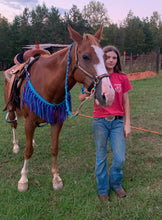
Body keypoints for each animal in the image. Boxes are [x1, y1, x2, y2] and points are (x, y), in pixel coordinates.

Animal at [3, 24, 115, 192]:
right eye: (85, 57)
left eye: (104, 56)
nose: (108, 94)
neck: (47, 82)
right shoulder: (29, 122)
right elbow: (28, 152)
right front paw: (23, 180)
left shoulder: (57, 122)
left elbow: (54, 148)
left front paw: (56, 178)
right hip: (11, 109)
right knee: (14, 125)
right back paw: (15, 146)